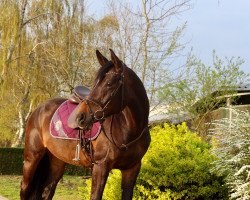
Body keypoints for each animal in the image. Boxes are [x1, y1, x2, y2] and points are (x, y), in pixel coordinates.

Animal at [20, 48, 150, 200]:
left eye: (109, 83)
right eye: (95, 83)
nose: (80, 117)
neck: (129, 129)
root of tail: (38, 110)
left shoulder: (132, 169)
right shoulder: (101, 167)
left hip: (56, 161)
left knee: (47, 191)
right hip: (31, 159)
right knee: (24, 189)